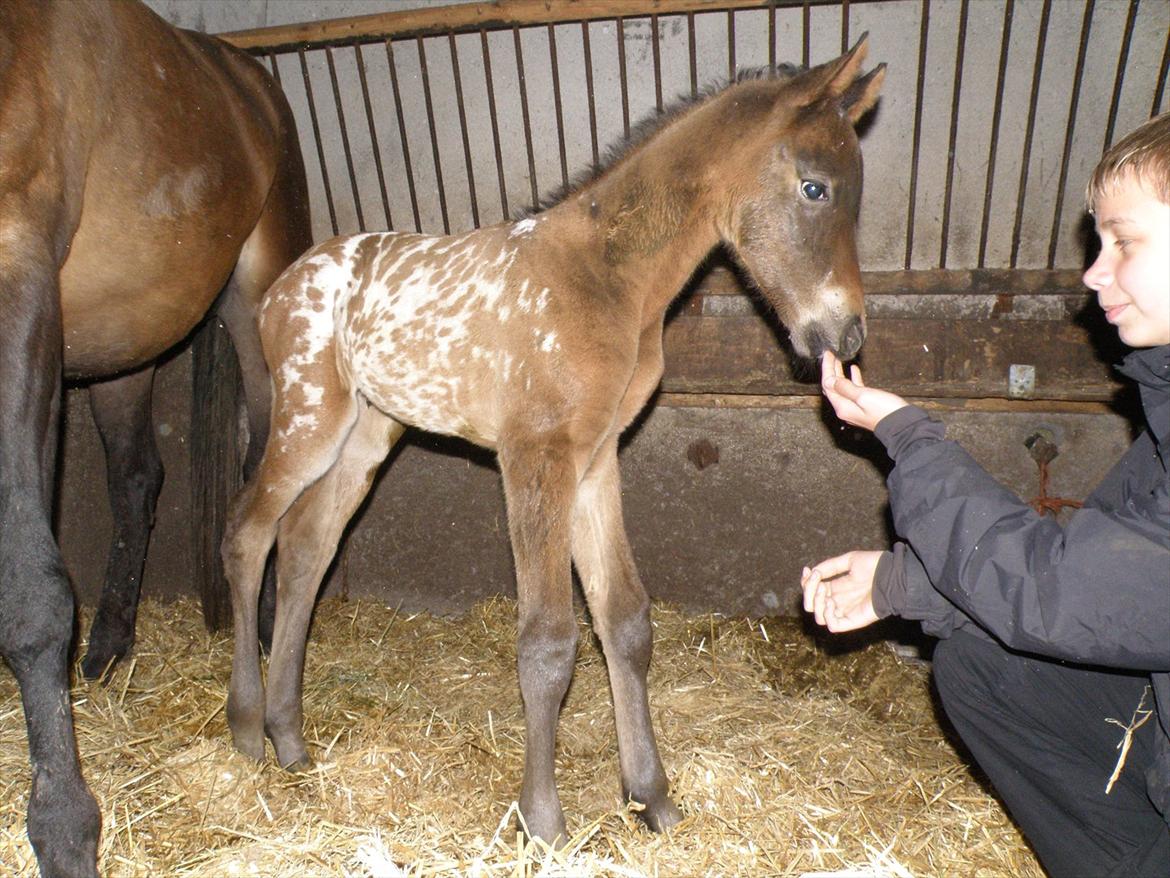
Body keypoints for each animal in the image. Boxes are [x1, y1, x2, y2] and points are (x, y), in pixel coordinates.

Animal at [0, 3, 311, 875]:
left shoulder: (19, 275)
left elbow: (31, 586)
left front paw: (63, 824)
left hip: (256, 302)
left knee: (264, 472)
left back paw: (264, 633)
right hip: (119, 347)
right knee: (139, 478)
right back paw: (109, 645)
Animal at [221, 37, 879, 847]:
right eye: (815, 188)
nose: (845, 335)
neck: (606, 279)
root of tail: (282, 285)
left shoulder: (596, 461)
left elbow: (623, 621)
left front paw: (651, 797)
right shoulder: (536, 457)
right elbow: (546, 642)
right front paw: (542, 820)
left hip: (367, 431)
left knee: (308, 547)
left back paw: (289, 735)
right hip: (309, 419)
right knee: (250, 533)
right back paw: (247, 728)